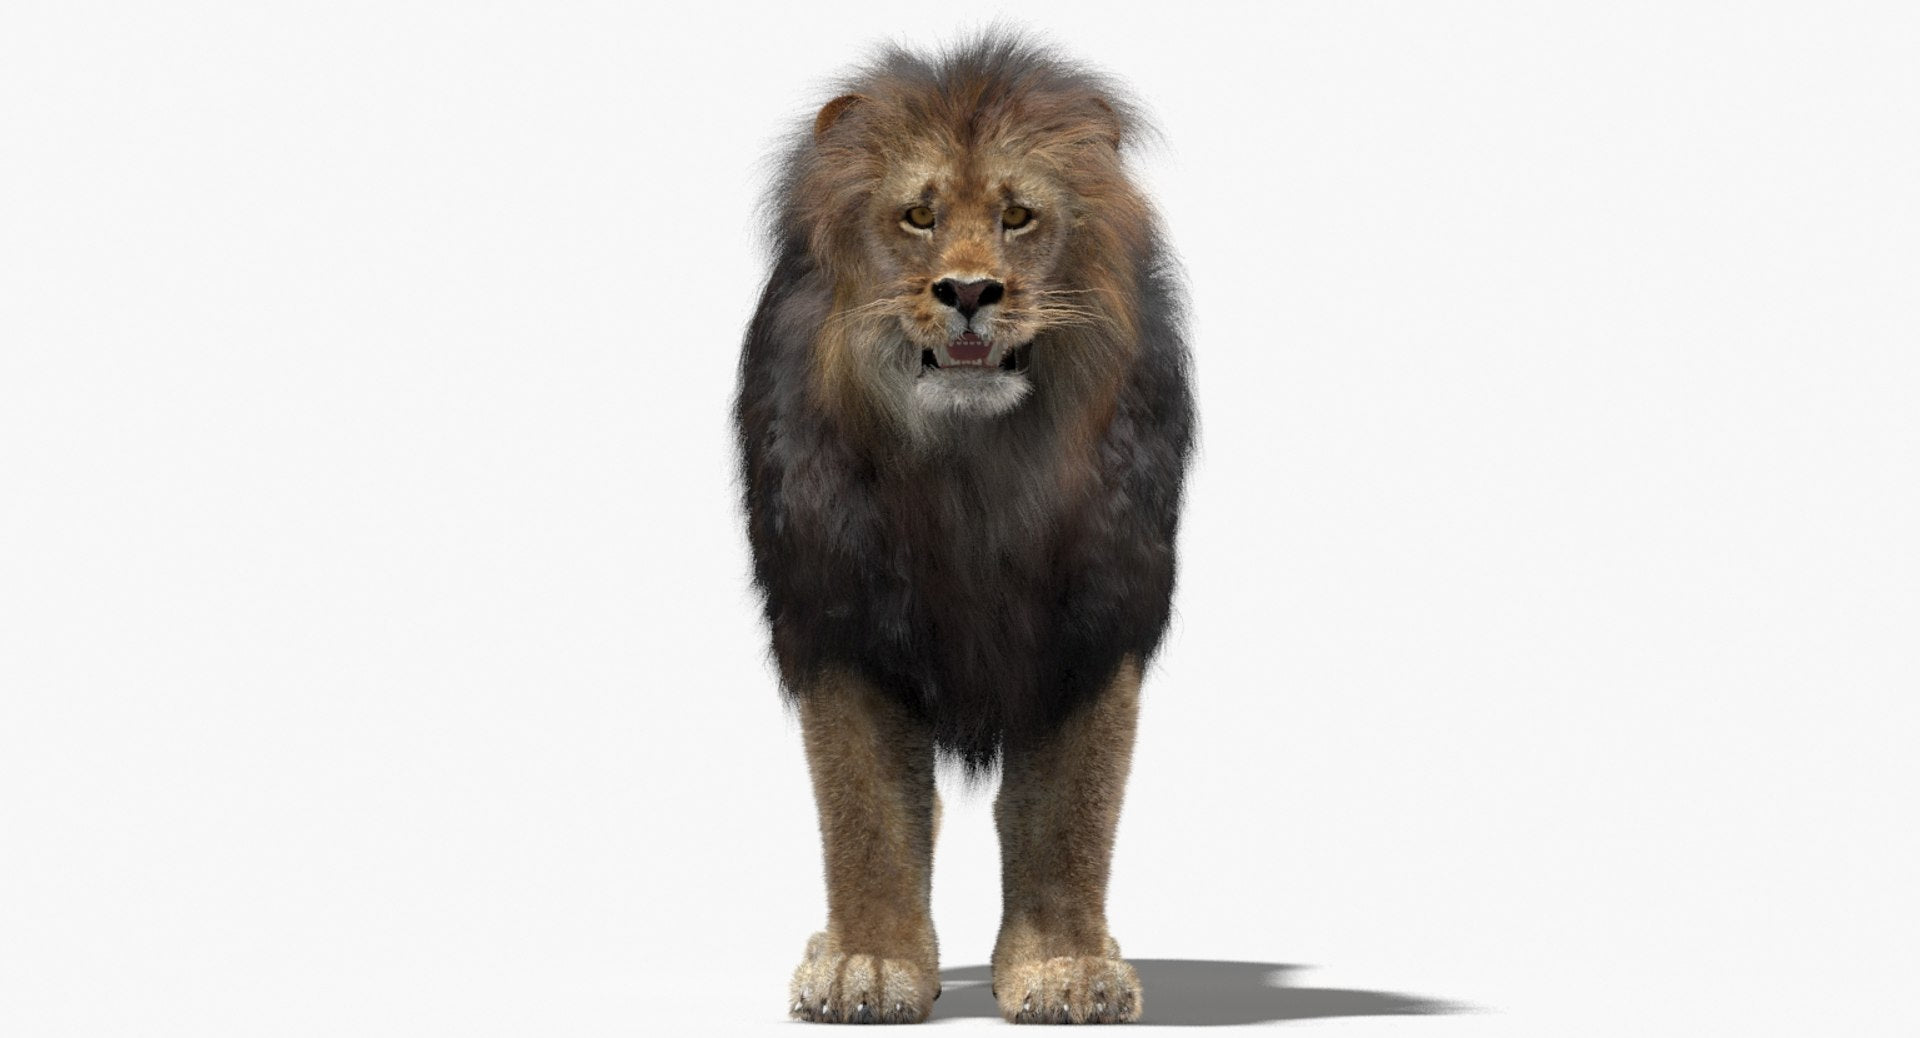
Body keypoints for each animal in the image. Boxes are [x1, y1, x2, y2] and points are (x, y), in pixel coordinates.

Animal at [735, 35, 1193, 1025]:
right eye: (918, 216)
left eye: (1018, 216)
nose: (972, 292)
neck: (972, 470)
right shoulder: (841, 617)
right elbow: (865, 808)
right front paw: (867, 965)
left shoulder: (1092, 624)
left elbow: (1069, 814)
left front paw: (1065, 967)